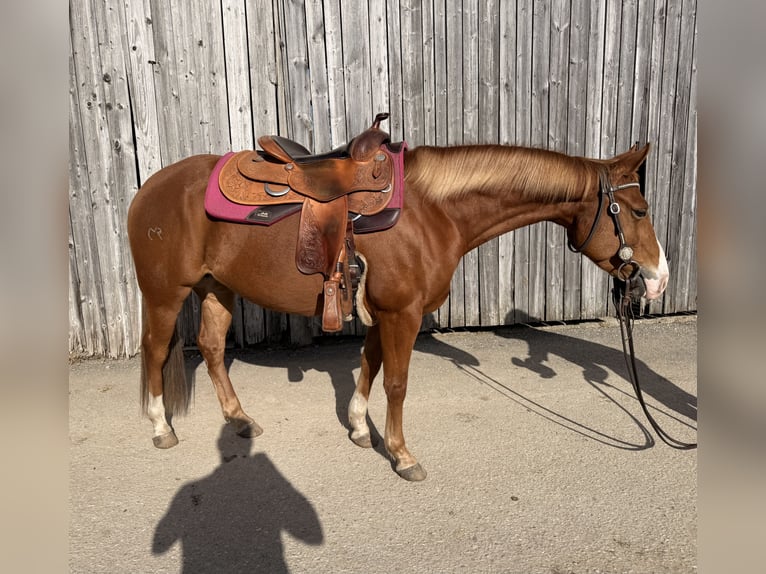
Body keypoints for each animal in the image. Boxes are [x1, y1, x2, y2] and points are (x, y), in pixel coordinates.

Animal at [127, 140, 669, 481]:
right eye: (639, 212)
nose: (658, 280)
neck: (433, 211)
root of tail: (148, 188)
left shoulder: (381, 314)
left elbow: (369, 368)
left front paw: (359, 429)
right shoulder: (401, 315)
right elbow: (396, 383)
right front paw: (403, 455)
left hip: (216, 288)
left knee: (213, 348)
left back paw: (239, 419)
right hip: (165, 294)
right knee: (154, 350)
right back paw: (159, 427)